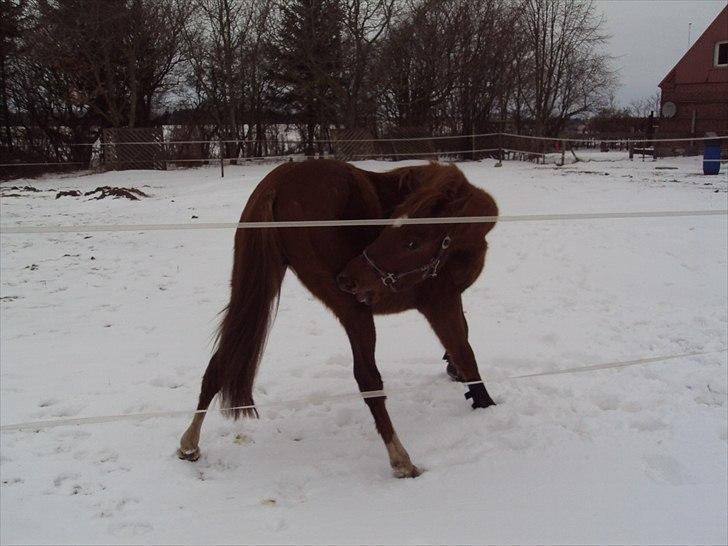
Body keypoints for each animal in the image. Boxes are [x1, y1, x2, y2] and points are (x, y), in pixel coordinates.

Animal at [178, 158, 498, 476]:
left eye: (411, 242)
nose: (350, 276)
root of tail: (278, 182)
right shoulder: (441, 303)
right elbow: (466, 353)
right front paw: (485, 403)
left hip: (255, 290)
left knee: (220, 362)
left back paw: (189, 443)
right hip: (353, 311)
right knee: (368, 379)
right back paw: (401, 459)